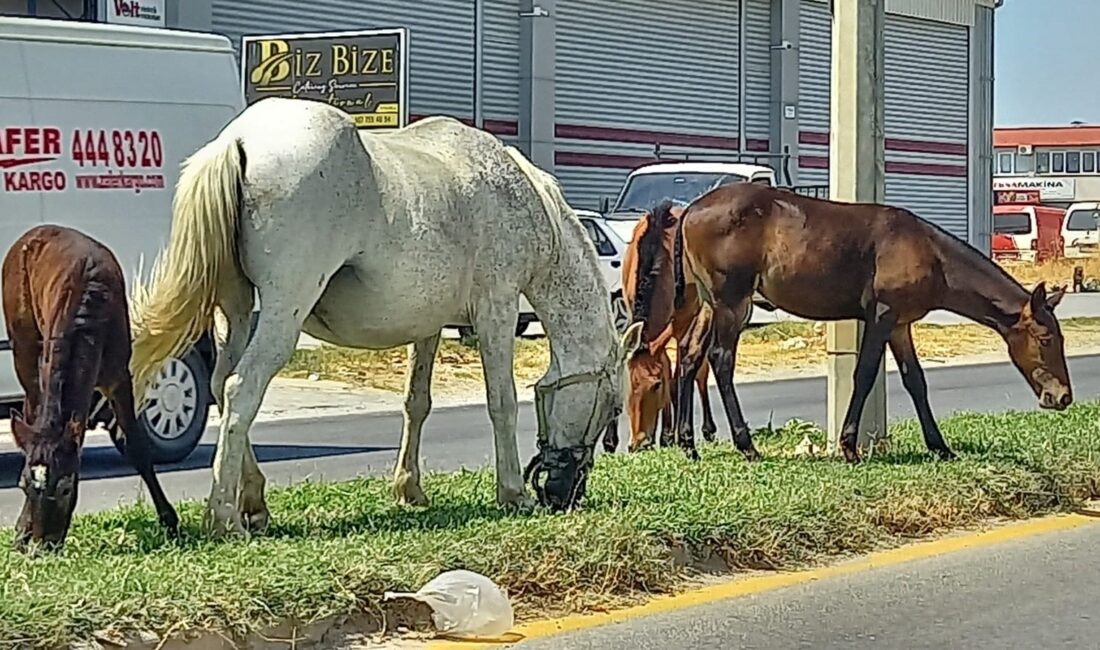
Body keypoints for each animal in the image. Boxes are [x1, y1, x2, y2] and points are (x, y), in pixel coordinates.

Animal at [1, 224, 178, 549]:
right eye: (22, 485)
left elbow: (137, 446)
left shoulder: (119, 374)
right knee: (31, 400)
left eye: (66, 488)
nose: (42, 547)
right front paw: (22, 530)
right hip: (21, 340)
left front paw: (170, 522)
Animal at [128, 95, 642, 534]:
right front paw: (513, 492)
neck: (520, 195)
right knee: (241, 389)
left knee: (220, 384)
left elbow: (417, 402)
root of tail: (239, 140)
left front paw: (409, 488)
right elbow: (502, 401)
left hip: (237, 312)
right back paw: (225, 516)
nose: (565, 492)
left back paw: (254, 500)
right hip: (281, 314)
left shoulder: (430, 326)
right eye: (613, 406)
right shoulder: (496, 309)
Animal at [642, 184, 1069, 461]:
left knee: (690, 355)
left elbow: (916, 381)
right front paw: (849, 446)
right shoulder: (881, 316)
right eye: (1046, 338)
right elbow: (863, 374)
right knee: (720, 359)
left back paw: (687, 444)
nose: (1062, 396)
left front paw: (940, 446)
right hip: (733, 302)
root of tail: (689, 210)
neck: (930, 254)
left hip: (710, 303)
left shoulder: (900, 324)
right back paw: (746, 445)